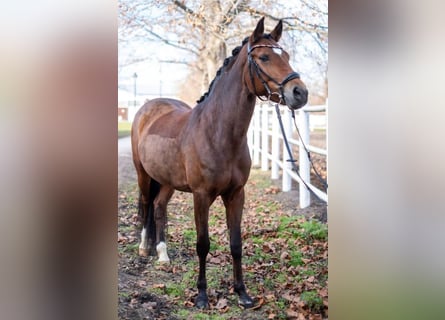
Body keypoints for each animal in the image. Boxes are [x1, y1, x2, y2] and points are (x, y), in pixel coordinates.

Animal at [130, 16, 306, 308]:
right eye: (264, 57)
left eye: (287, 56)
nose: (300, 92)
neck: (218, 133)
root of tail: (148, 108)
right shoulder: (201, 196)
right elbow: (203, 244)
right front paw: (202, 296)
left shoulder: (236, 194)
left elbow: (236, 243)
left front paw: (242, 293)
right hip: (144, 174)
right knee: (145, 204)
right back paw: (144, 247)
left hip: (167, 182)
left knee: (158, 207)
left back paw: (163, 254)